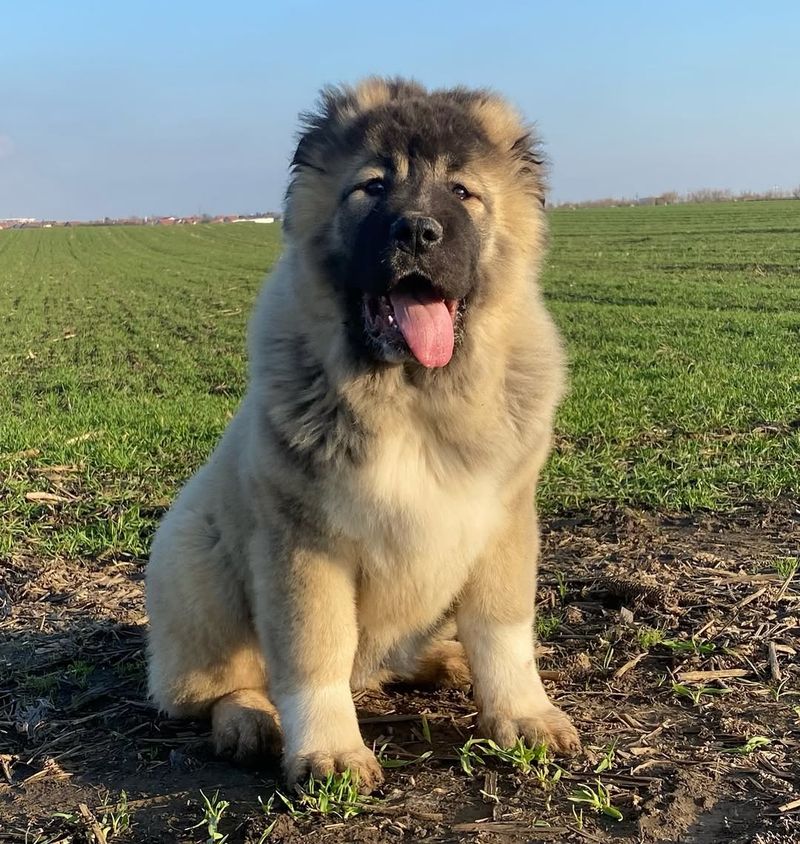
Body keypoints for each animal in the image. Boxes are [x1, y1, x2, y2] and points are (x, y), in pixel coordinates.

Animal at [147, 77, 580, 792]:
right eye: (373, 187)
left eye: (462, 192)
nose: (419, 231)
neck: (412, 400)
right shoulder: (304, 544)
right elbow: (314, 655)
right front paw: (331, 752)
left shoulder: (503, 521)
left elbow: (504, 632)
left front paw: (523, 714)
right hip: (192, 557)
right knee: (220, 687)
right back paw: (249, 722)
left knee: (387, 658)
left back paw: (442, 661)